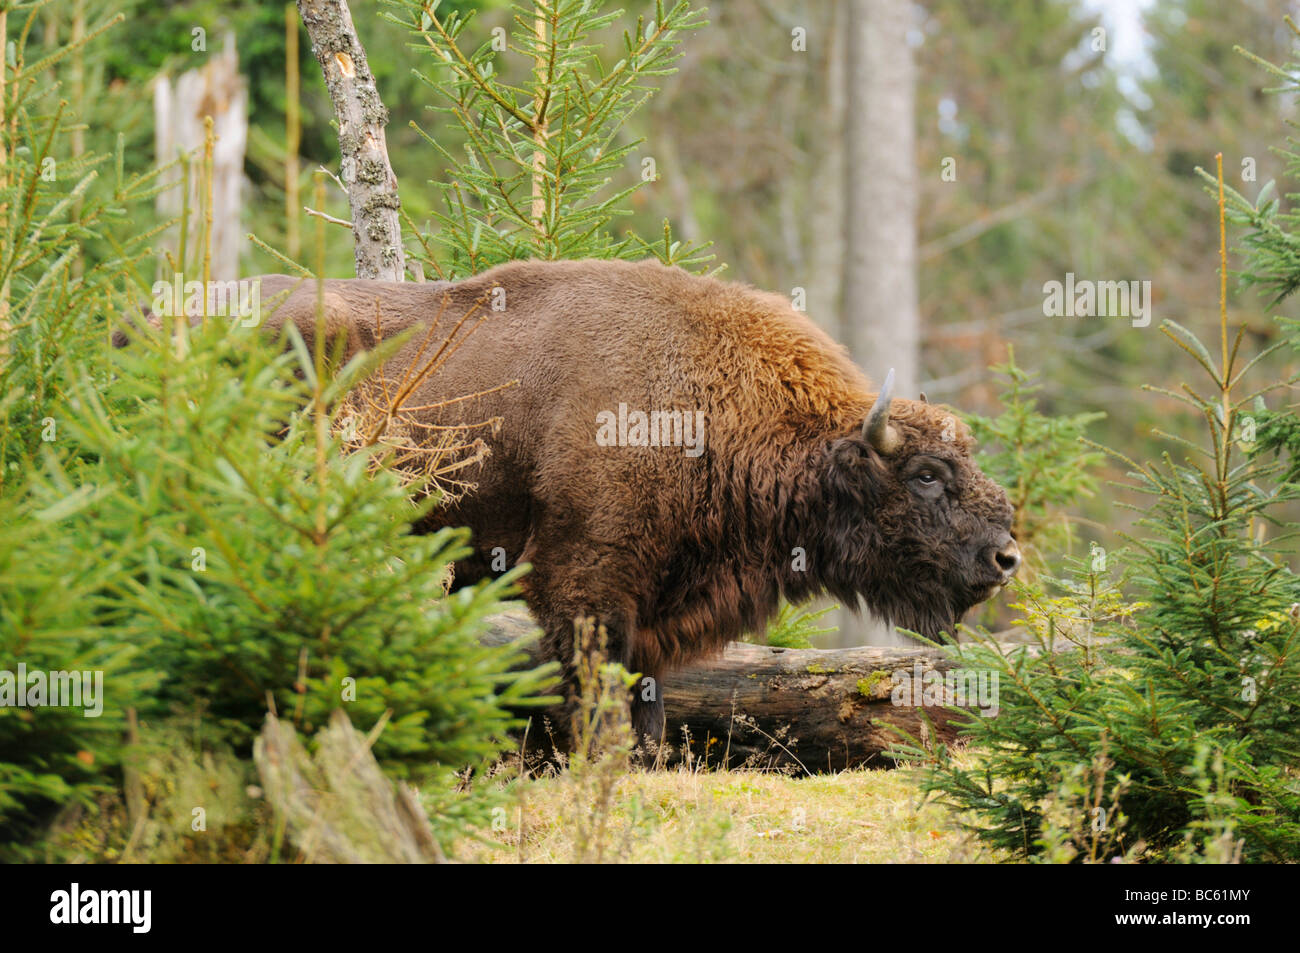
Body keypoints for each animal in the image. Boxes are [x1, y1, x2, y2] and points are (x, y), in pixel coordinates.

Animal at [144, 258, 1013, 748]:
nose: (1006, 555)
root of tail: (156, 322)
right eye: (926, 474)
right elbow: (599, 694)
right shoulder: (583, 584)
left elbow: (648, 698)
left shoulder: (649, 607)